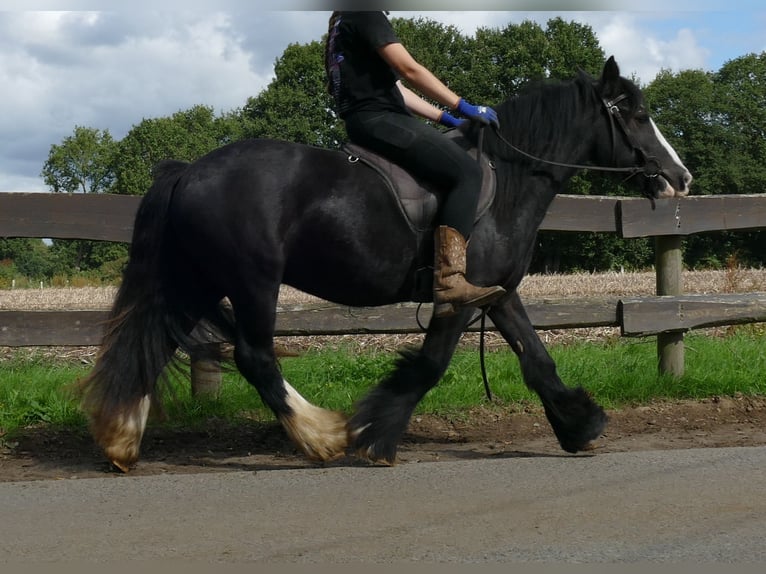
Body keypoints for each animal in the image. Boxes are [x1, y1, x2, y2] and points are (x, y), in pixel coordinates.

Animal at [80, 56, 692, 471]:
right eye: (638, 115)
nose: (680, 177)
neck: (511, 178)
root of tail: (189, 171)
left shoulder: (497, 291)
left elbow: (537, 360)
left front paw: (581, 425)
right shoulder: (457, 298)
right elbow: (431, 365)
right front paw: (375, 434)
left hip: (198, 281)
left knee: (155, 340)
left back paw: (120, 439)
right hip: (252, 282)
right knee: (254, 357)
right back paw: (321, 436)